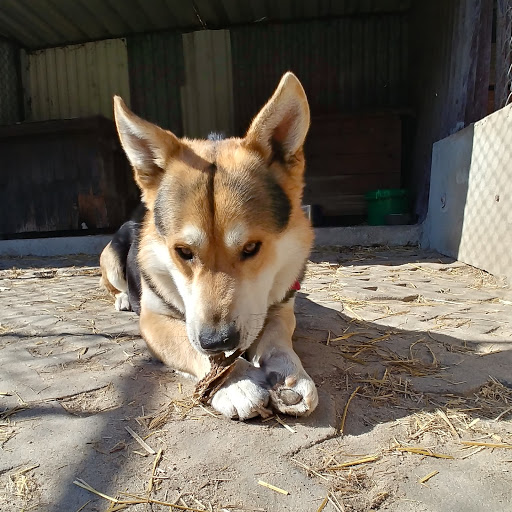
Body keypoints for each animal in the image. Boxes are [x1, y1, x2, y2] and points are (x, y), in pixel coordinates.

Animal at [98, 74, 318, 422]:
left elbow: (277, 336)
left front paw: (288, 374)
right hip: (111, 259)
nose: (217, 342)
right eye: (183, 252)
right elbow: (189, 345)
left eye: (251, 247)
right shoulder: (155, 321)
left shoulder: (280, 307)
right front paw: (237, 383)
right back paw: (121, 298)